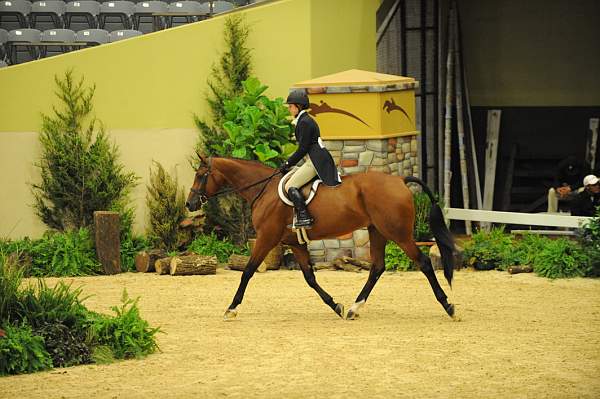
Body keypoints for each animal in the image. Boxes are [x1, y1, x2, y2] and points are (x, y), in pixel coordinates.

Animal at [188, 155, 454, 320]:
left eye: (200, 175)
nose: (190, 204)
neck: (264, 190)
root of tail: (399, 179)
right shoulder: (294, 243)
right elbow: (309, 278)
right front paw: (336, 305)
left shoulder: (266, 238)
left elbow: (247, 271)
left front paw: (231, 308)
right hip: (377, 231)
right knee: (377, 267)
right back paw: (354, 308)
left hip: (397, 233)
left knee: (423, 263)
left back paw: (448, 306)